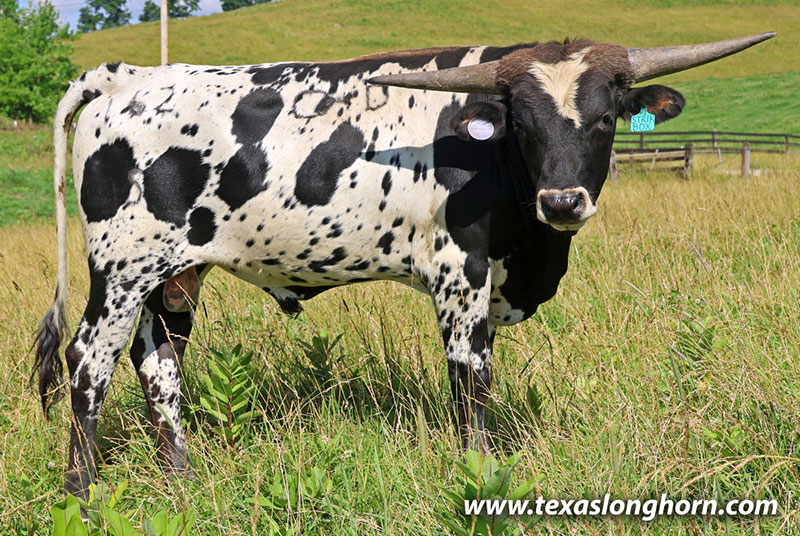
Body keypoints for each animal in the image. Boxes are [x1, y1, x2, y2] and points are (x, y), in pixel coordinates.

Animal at [33, 32, 774, 498]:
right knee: (88, 361)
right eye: (523, 122)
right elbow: (471, 383)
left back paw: (181, 484)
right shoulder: (458, 275)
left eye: (605, 118)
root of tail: (133, 77)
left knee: (158, 364)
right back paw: (82, 492)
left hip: (173, 275)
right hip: (120, 268)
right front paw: (479, 475)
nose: (562, 201)